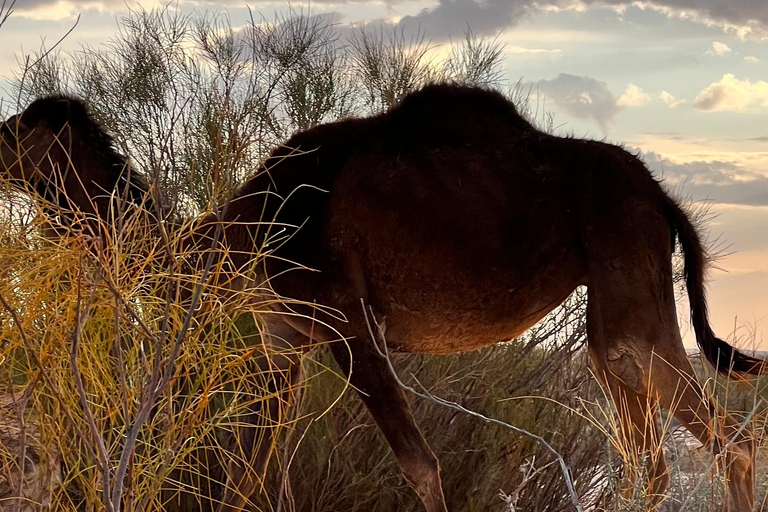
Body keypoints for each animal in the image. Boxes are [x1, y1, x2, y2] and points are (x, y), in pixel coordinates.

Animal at [0, 86, 764, 510]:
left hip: (626, 275)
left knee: (726, 442)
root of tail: (663, 198)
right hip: (616, 309)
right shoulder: (284, 343)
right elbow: (253, 479)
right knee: (651, 459)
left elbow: (422, 468)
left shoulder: (345, 319)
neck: (238, 231)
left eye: (12, 130)